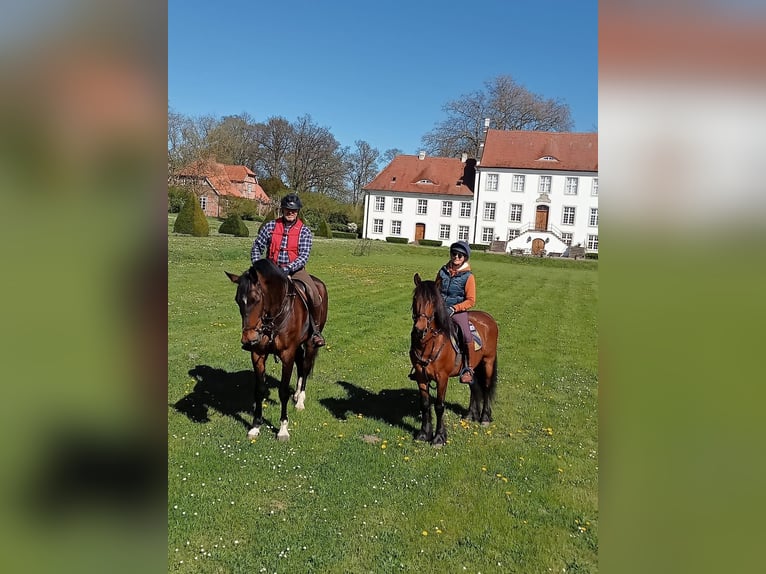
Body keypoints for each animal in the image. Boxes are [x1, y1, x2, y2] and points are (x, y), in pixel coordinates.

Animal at [225, 258, 328, 441]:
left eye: (256, 299)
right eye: (237, 300)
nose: (248, 338)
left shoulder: (287, 354)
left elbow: (283, 392)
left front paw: (283, 430)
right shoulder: (257, 354)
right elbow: (259, 390)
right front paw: (255, 426)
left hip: (310, 343)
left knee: (306, 367)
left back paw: (300, 400)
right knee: (301, 366)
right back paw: (297, 395)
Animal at [409, 273, 498, 446]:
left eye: (433, 301)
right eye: (415, 298)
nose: (419, 329)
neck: (430, 342)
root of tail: (488, 318)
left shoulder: (442, 378)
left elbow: (439, 406)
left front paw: (438, 437)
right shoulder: (420, 375)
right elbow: (425, 404)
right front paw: (424, 434)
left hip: (488, 362)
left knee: (485, 387)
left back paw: (484, 417)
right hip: (472, 368)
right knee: (474, 387)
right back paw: (470, 415)